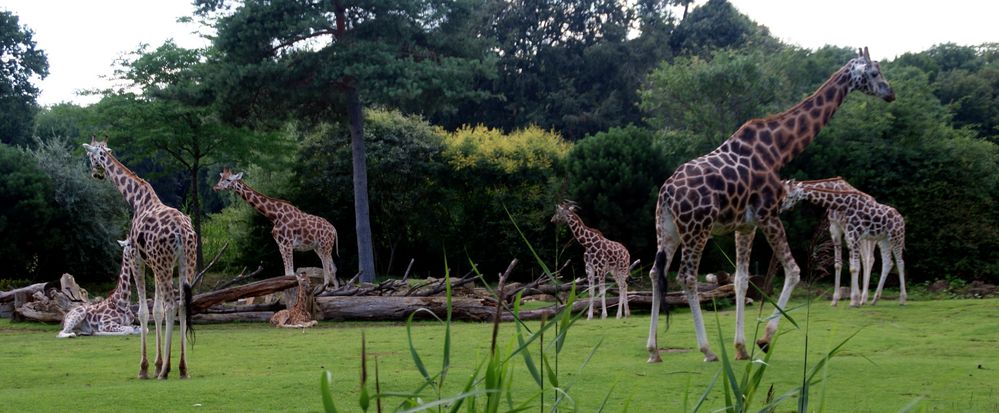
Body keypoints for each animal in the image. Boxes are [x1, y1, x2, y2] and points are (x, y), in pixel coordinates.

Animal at [84, 137, 199, 378]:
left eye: (91, 156)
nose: (96, 174)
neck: (136, 199)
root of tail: (182, 233)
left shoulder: (136, 259)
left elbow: (145, 312)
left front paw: (145, 368)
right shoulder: (153, 264)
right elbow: (156, 311)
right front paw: (156, 364)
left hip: (165, 264)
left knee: (172, 305)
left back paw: (166, 371)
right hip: (186, 264)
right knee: (182, 305)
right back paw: (182, 368)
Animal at [211, 168, 340, 290]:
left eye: (228, 179)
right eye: (221, 178)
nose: (215, 187)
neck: (274, 216)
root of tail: (334, 229)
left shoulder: (287, 244)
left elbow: (290, 273)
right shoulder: (281, 245)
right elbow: (287, 274)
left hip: (325, 245)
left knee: (328, 268)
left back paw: (325, 289)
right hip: (318, 247)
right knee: (332, 267)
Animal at [784, 180, 912, 306]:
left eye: (790, 196)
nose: (782, 207)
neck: (842, 204)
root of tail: (901, 218)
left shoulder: (854, 234)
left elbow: (854, 267)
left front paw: (854, 300)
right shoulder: (840, 233)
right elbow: (842, 265)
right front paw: (837, 300)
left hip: (895, 237)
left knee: (899, 262)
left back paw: (902, 299)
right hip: (883, 239)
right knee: (887, 263)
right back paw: (874, 299)